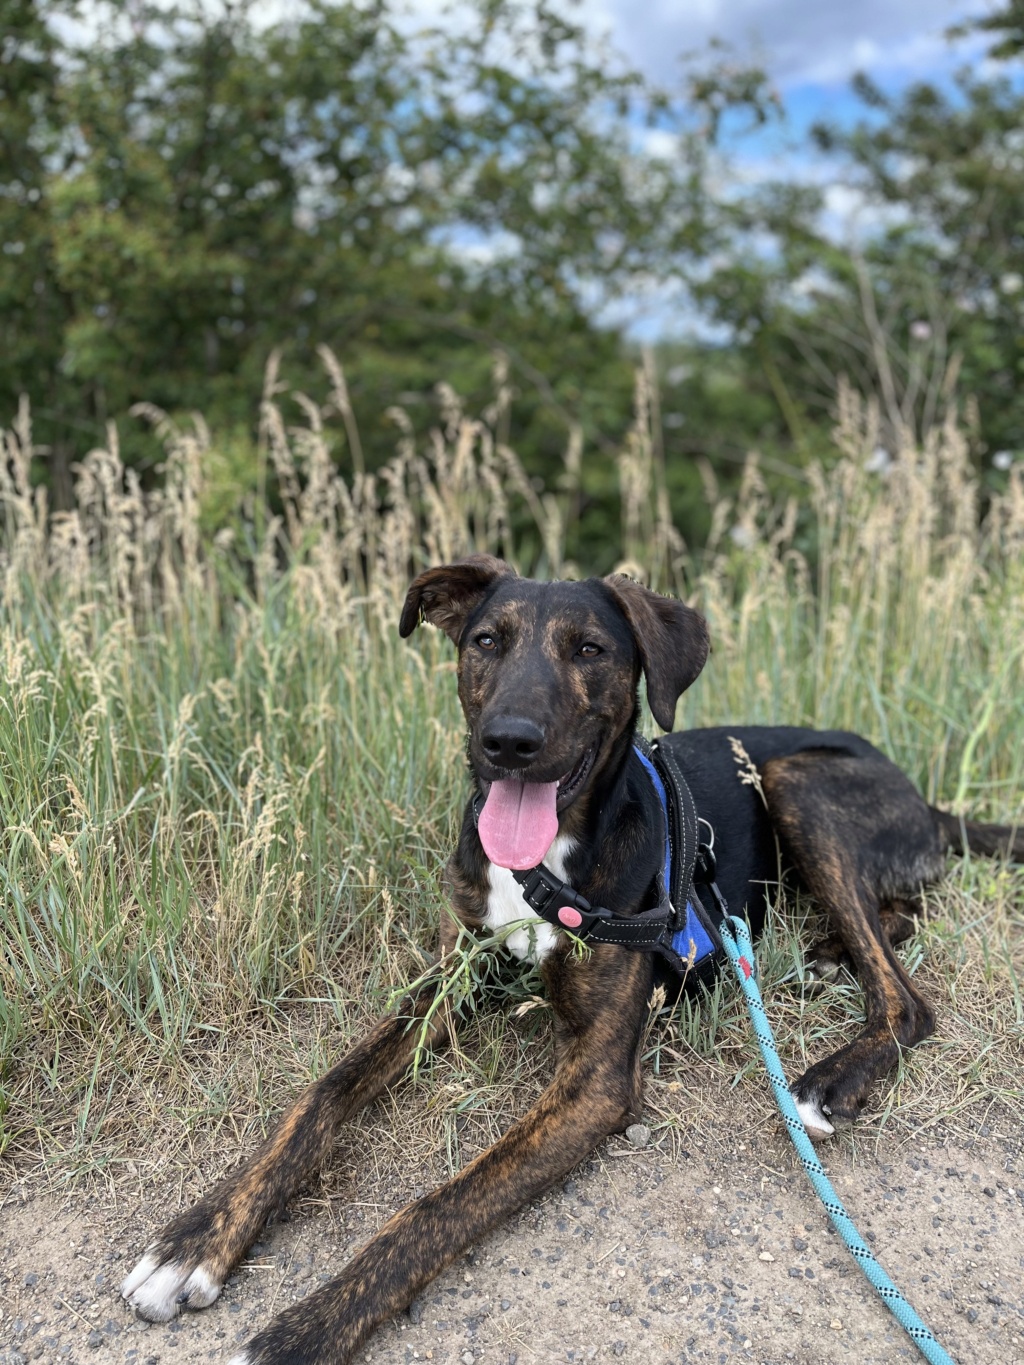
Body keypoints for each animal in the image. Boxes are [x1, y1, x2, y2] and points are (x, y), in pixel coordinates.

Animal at [118, 554, 1021, 1365]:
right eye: (486, 639)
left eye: (589, 648)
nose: (507, 742)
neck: (543, 863)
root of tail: (924, 795)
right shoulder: (448, 977)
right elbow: (324, 1092)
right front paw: (196, 1237)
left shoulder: (593, 1084)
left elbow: (441, 1202)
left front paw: (304, 1328)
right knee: (889, 918)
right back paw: (829, 951)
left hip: (795, 777)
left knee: (907, 996)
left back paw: (834, 1075)